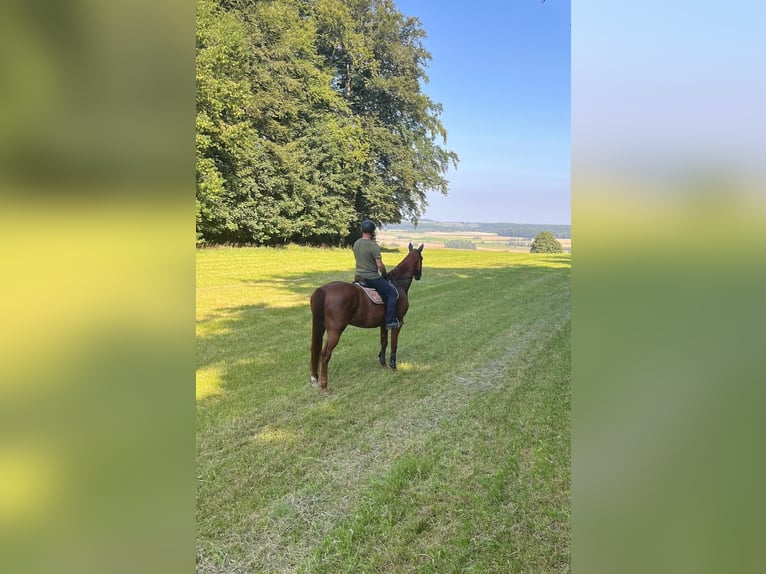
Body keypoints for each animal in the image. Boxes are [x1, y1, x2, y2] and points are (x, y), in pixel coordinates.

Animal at [310, 242, 424, 393]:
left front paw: (383, 364)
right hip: (335, 331)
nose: (419, 276)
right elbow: (394, 343)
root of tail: (324, 289)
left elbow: (384, 342)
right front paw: (393, 366)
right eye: (421, 258)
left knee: (315, 351)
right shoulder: (398, 322)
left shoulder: (384, 324)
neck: (398, 284)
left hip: (320, 327)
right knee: (325, 354)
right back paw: (324, 386)